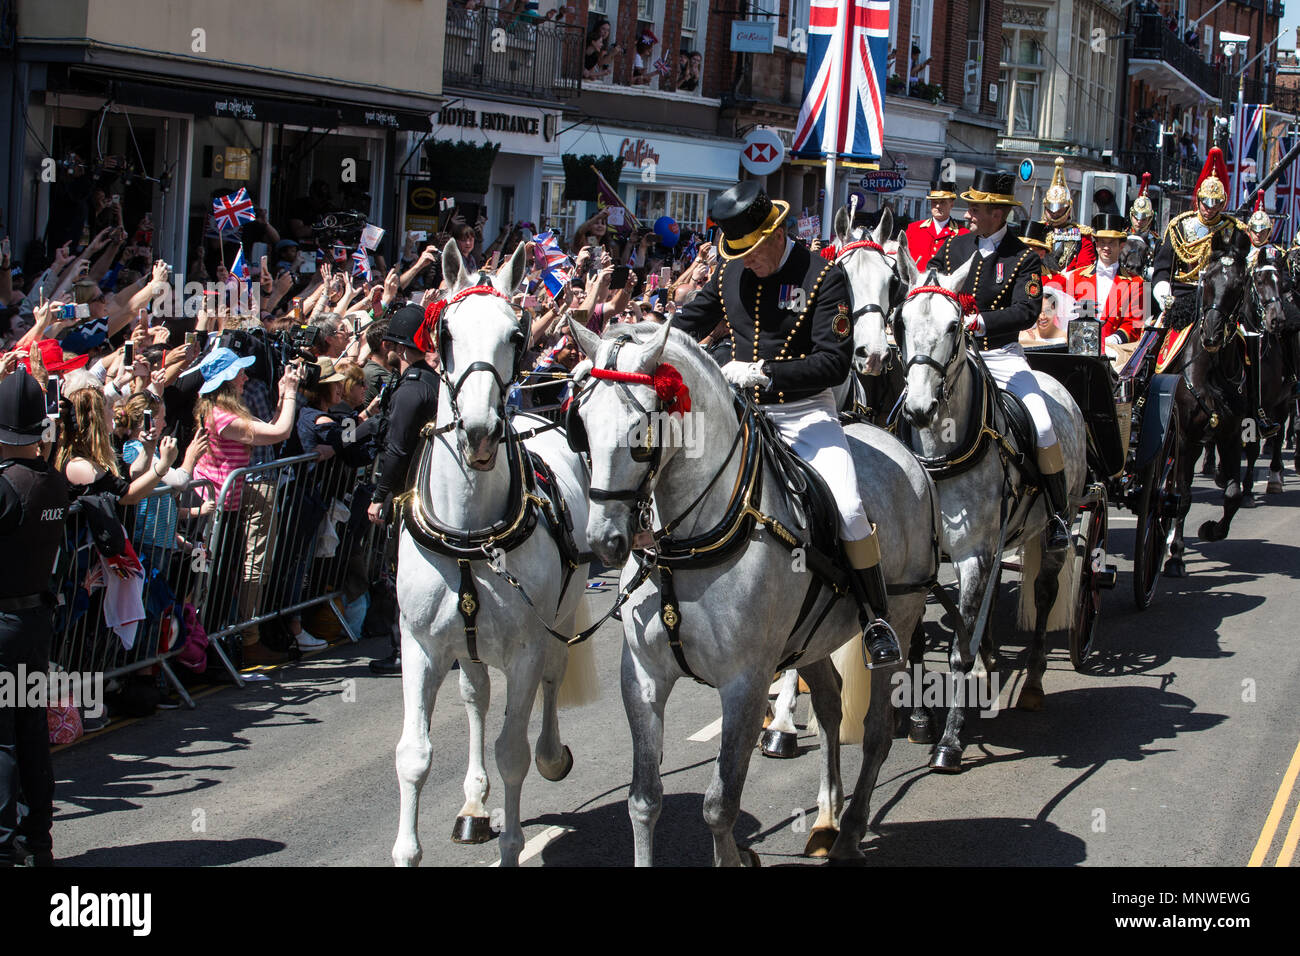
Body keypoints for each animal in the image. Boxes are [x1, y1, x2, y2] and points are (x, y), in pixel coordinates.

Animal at [392, 240, 595, 868]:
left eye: (516, 334)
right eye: (446, 333)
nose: (480, 432)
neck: (469, 534)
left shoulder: (526, 649)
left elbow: (513, 752)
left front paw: (512, 844)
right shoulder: (420, 647)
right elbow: (415, 753)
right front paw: (410, 847)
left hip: (560, 615)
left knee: (552, 679)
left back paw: (551, 755)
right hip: (470, 645)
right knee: (477, 696)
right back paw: (474, 806)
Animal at [574, 317, 941, 863]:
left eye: (640, 433)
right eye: (581, 424)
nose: (605, 541)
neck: (690, 539)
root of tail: (897, 445)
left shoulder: (744, 683)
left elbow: (719, 804)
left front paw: (734, 856)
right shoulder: (641, 676)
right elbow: (643, 800)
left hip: (899, 616)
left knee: (877, 731)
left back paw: (850, 830)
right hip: (808, 640)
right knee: (830, 705)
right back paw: (826, 817)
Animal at [894, 252, 1086, 770]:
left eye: (955, 325)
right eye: (901, 323)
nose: (919, 408)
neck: (939, 454)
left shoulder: (972, 555)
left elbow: (957, 651)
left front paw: (951, 739)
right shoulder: (928, 558)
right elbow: (919, 637)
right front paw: (919, 720)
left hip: (1052, 532)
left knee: (1044, 593)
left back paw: (1033, 682)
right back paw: (993, 658)